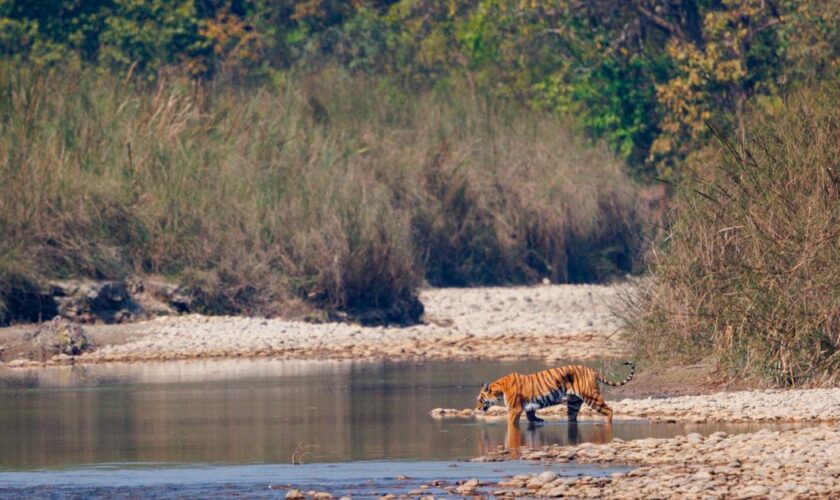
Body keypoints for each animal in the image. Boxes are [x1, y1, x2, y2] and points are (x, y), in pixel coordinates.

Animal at [476, 360, 632, 426]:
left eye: (480, 399)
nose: (477, 409)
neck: (500, 389)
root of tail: (591, 370)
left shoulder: (514, 409)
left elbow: (511, 422)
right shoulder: (528, 407)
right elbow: (531, 416)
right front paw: (540, 421)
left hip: (591, 397)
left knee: (609, 409)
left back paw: (607, 423)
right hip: (573, 403)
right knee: (572, 418)